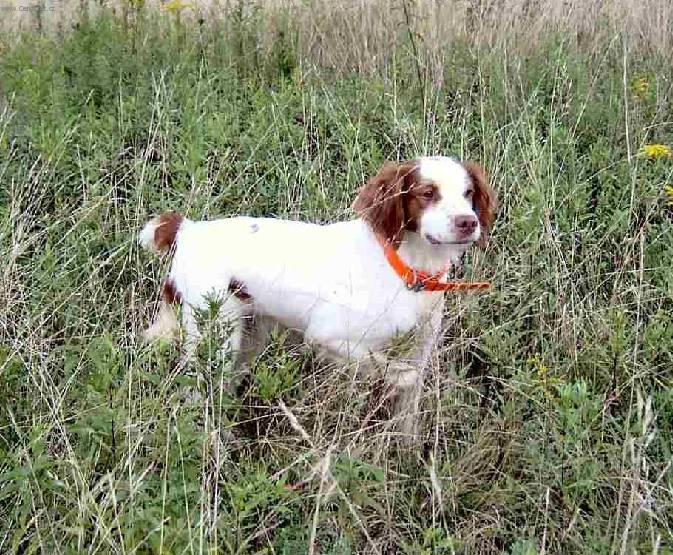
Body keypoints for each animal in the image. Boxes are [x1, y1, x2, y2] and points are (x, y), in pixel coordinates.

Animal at [138, 156, 494, 438]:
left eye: (468, 193)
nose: (468, 222)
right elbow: (402, 377)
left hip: (249, 336)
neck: (406, 268)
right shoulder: (327, 336)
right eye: (427, 193)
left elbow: (410, 410)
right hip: (214, 341)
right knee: (196, 394)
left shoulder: (420, 349)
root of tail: (188, 230)